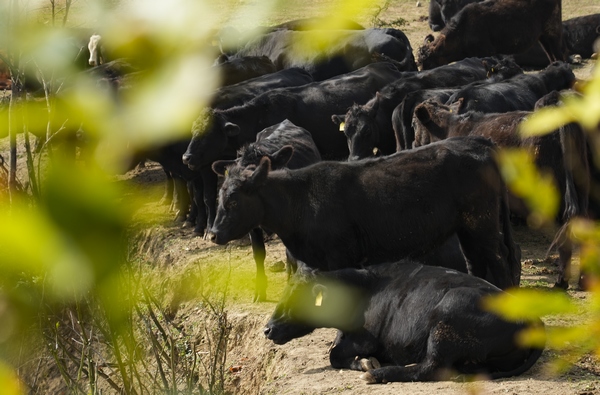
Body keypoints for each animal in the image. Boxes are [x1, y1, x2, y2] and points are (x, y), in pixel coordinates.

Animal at [210, 137, 520, 290]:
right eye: (219, 196)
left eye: (234, 200)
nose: (213, 234)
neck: (300, 199)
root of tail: (479, 145)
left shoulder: (340, 256)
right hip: (467, 228)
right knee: (475, 262)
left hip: (482, 223)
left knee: (499, 260)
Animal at [264, 260, 548, 384]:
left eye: (296, 297)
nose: (267, 328)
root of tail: (534, 320)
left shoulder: (364, 339)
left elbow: (334, 355)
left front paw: (367, 363)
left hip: (446, 321)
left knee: (430, 368)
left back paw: (378, 374)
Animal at [418, 0, 568, 70]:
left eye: (429, 62)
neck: (462, 31)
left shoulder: (486, 52)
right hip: (543, 38)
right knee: (551, 56)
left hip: (553, 34)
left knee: (560, 55)